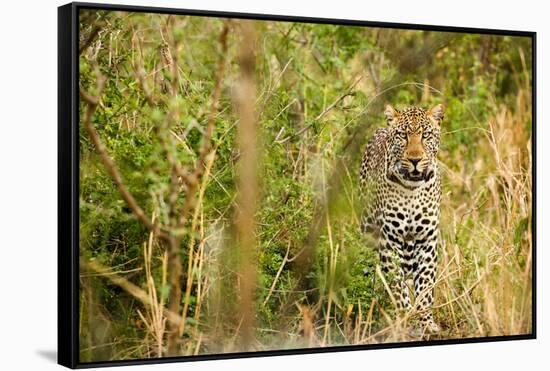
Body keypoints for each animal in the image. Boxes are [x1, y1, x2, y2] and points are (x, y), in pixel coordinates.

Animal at [360, 104, 446, 334]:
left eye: (426, 135)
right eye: (402, 136)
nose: (415, 160)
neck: (411, 190)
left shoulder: (426, 240)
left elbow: (425, 284)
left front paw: (425, 321)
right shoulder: (389, 240)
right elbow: (397, 285)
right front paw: (407, 318)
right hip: (367, 229)